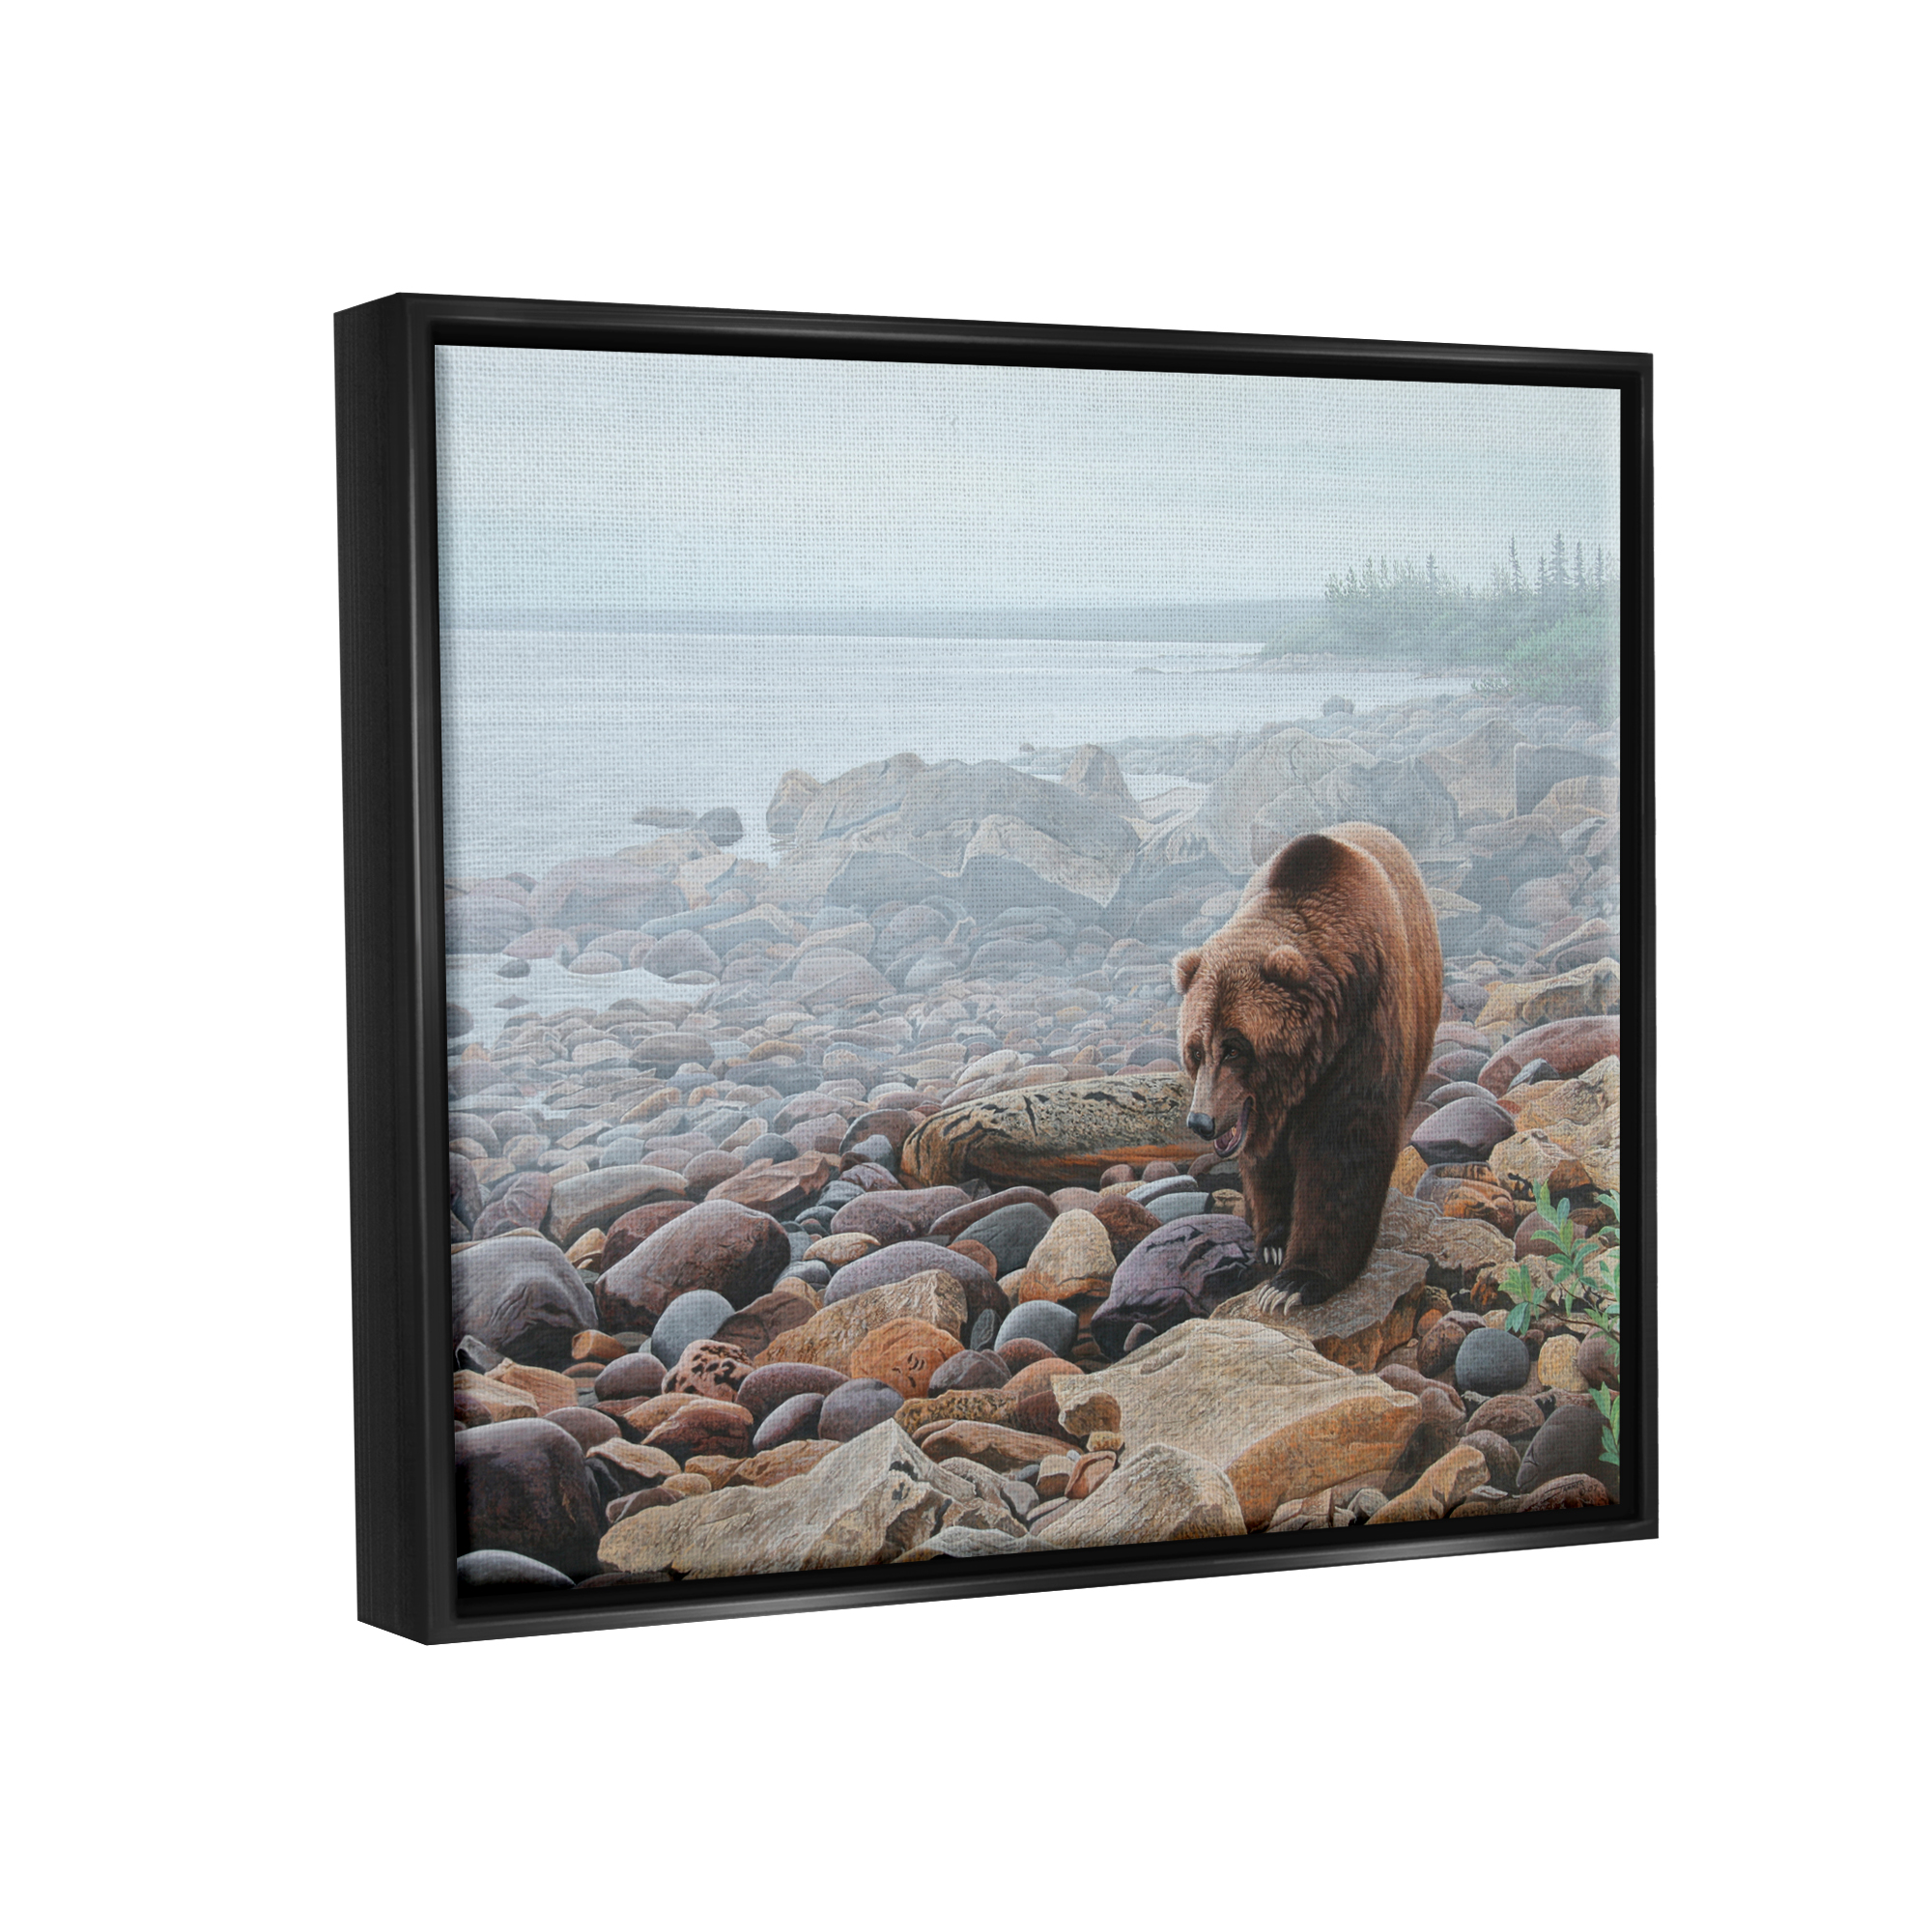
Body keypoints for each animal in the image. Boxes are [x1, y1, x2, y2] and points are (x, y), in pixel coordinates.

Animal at [1171, 821, 1442, 1307]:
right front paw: (1274, 1242)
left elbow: (1344, 1147)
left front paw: (1296, 1281)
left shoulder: (1365, 1029)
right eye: (1196, 1049)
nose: (1201, 1122)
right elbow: (1266, 1164)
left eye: (1235, 1047)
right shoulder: (1262, 1112)